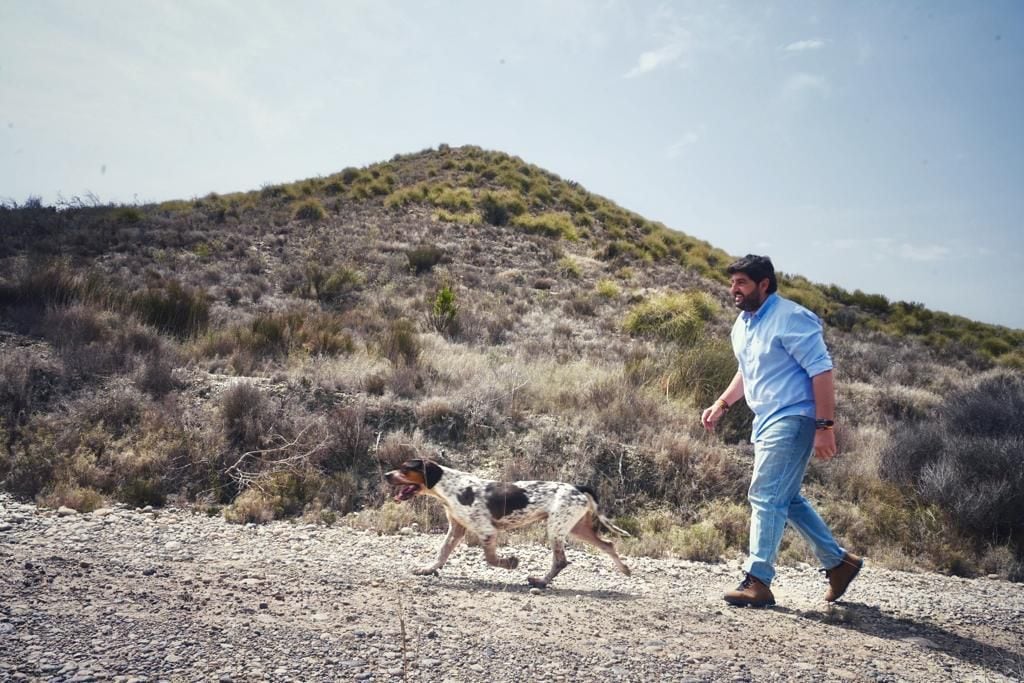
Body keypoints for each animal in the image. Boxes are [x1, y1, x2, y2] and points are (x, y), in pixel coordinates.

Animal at [382, 458, 626, 589]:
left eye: (405, 468)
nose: (385, 475)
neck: (449, 488)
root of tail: (577, 487)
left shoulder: (487, 531)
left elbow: (490, 559)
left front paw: (510, 563)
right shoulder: (456, 529)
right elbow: (442, 554)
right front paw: (427, 569)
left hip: (556, 529)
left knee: (560, 562)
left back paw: (540, 582)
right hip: (576, 528)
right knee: (608, 545)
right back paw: (624, 569)